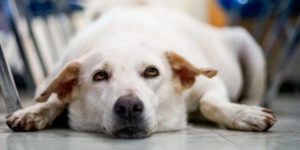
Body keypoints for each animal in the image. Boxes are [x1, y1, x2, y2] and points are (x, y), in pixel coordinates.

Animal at [5, 0, 276, 139]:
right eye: (99, 76)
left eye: (152, 72)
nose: (128, 106)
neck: (123, 34)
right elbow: (53, 99)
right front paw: (32, 112)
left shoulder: (210, 84)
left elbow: (211, 103)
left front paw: (243, 114)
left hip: (249, 46)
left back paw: (248, 107)